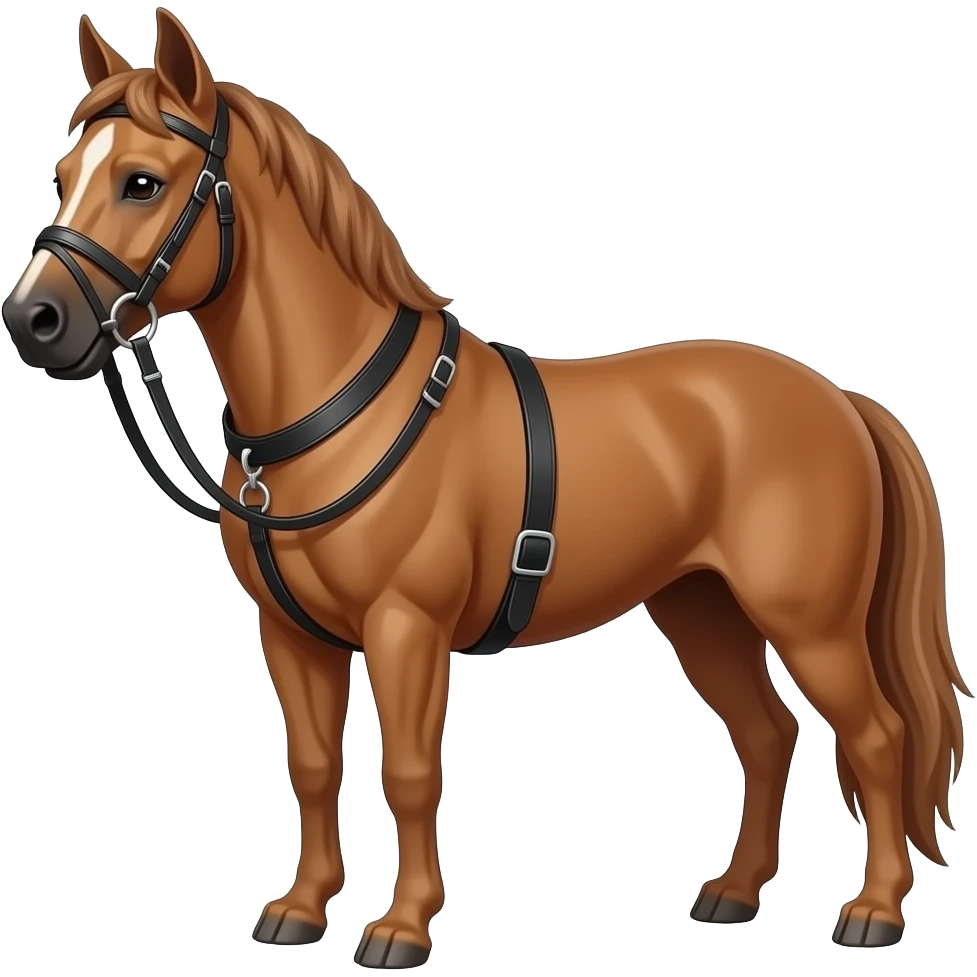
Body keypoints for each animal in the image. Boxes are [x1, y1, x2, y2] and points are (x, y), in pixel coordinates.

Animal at [2, 8, 968, 963]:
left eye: (140, 183)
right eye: (63, 176)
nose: (33, 320)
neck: (343, 405)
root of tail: (841, 401)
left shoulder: (406, 630)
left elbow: (408, 772)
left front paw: (400, 927)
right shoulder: (292, 637)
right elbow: (312, 767)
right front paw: (302, 910)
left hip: (812, 627)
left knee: (875, 736)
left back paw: (873, 911)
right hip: (703, 611)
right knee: (767, 736)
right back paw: (733, 892)